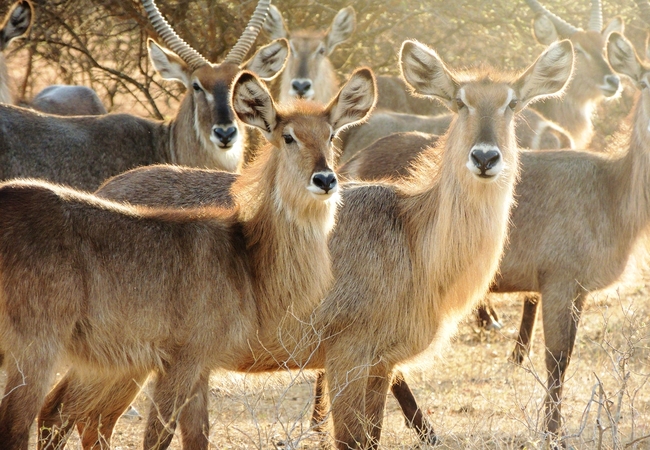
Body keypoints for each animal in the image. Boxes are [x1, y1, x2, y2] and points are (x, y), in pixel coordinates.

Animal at [0, 67, 372, 450]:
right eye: (288, 137)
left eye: (330, 135)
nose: (325, 179)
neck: (246, 256)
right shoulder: (181, 360)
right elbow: (157, 436)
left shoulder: (200, 366)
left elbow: (197, 436)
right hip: (37, 348)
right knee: (24, 425)